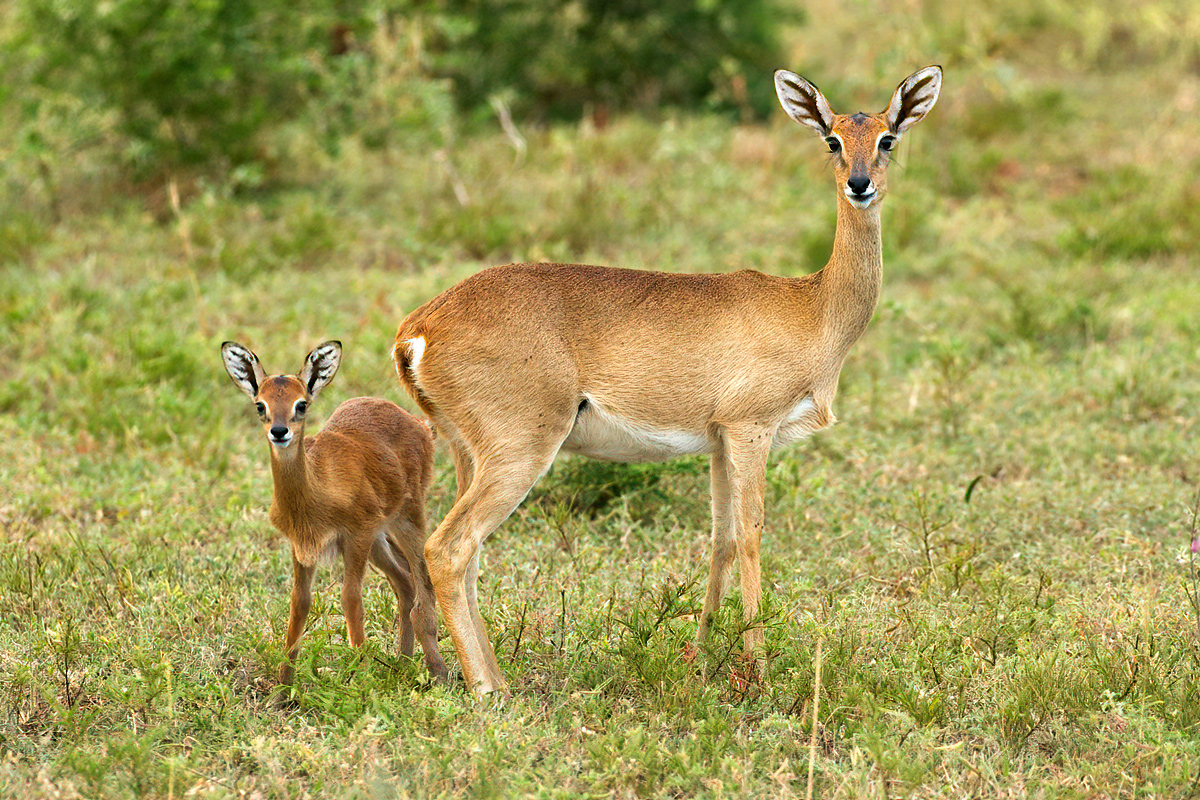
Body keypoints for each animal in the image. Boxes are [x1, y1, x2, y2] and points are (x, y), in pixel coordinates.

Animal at [223, 340, 448, 686]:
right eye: (260, 405)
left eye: (301, 403)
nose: (279, 431)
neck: (317, 492)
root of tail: (420, 425)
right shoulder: (302, 547)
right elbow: (299, 604)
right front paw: (282, 688)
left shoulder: (356, 536)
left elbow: (350, 599)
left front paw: (362, 680)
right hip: (380, 541)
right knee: (405, 583)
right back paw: (402, 662)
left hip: (407, 520)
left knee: (423, 582)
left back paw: (438, 672)